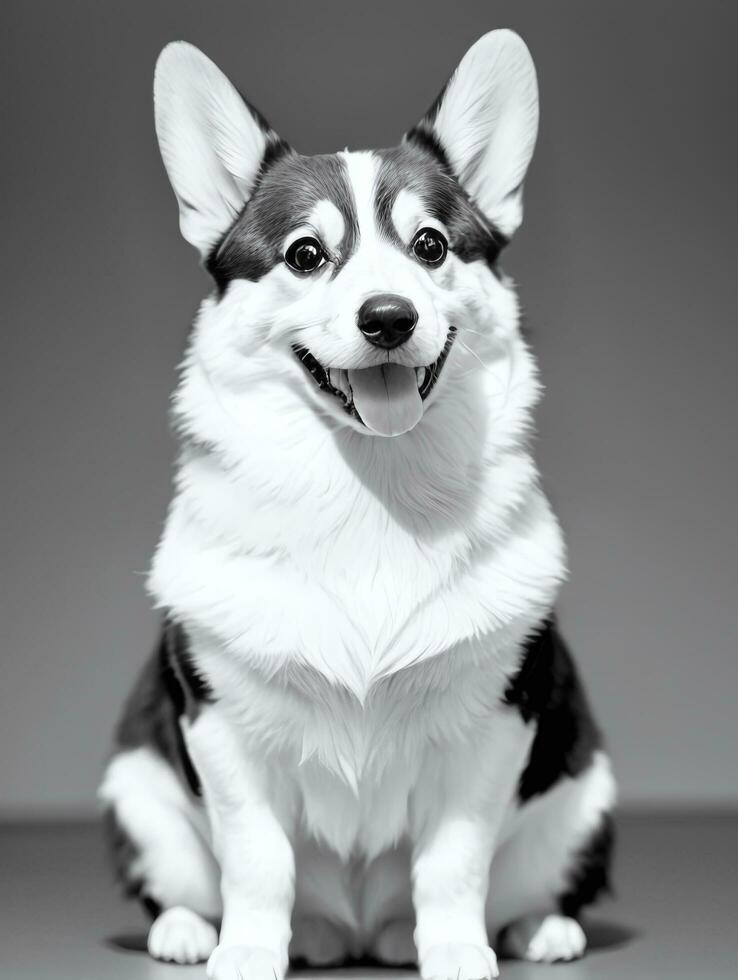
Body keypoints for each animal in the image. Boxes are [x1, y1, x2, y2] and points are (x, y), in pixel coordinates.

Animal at [99, 30, 616, 980]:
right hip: (138, 790)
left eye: (431, 246)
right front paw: (246, 954)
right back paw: (190, 932)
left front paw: (458, 954)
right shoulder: (223, 733)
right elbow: (255, 861)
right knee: (184, 884)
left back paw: (536, 931)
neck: (368, 492)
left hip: (583, 794)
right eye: (306, 255)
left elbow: (453, 864)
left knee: (530, 885)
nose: (388, 316)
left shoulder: (490, 732)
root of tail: (357, 936)